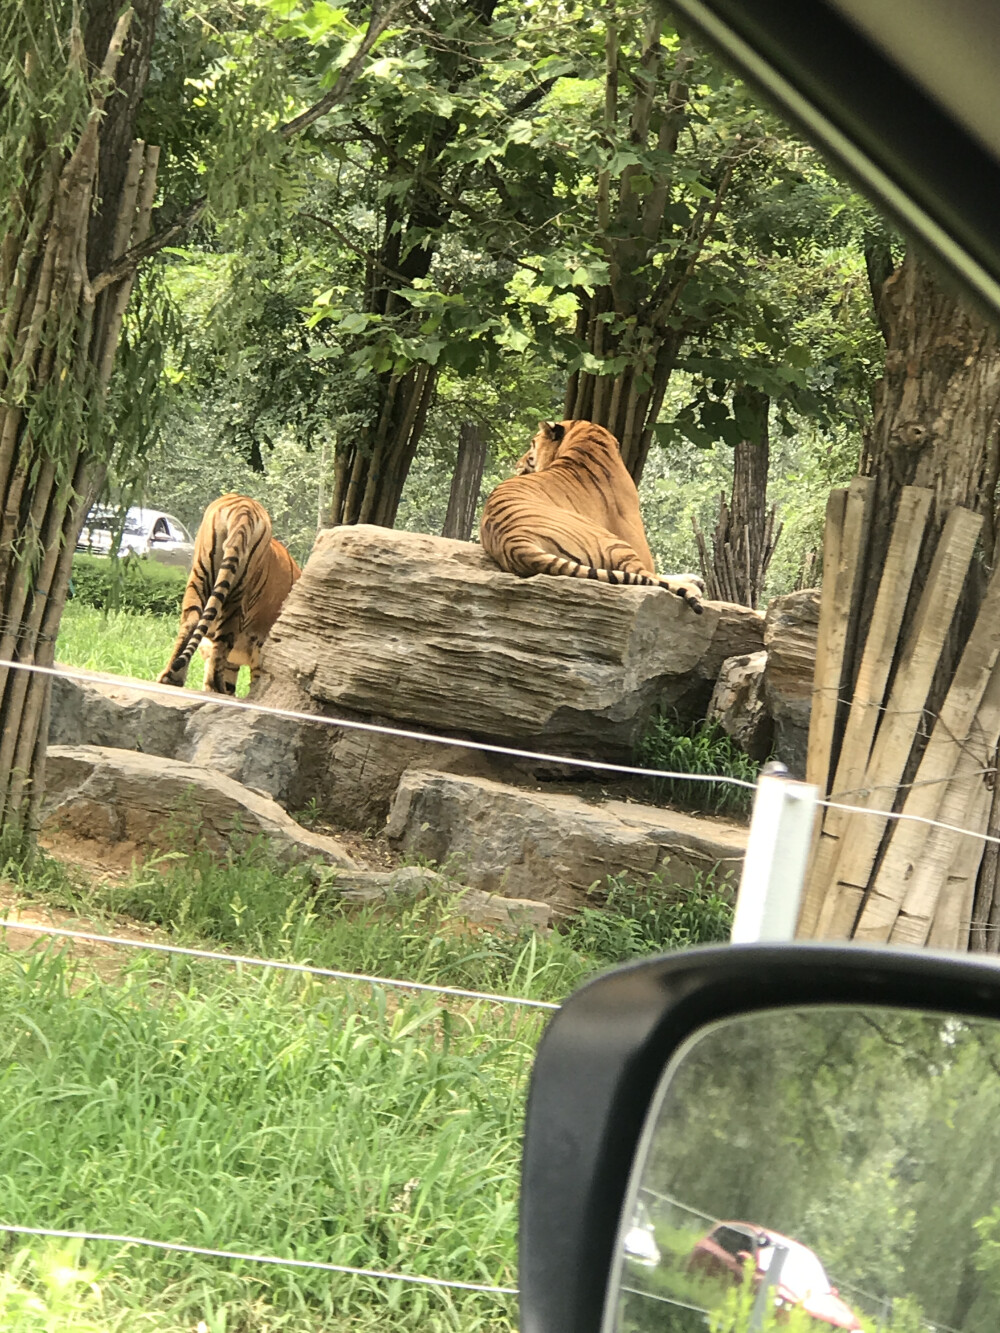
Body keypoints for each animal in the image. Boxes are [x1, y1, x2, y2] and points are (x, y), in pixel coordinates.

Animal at [156, 493, 304, 698]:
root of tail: (245, 507)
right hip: (237, 593)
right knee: (223, 640)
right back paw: (217, 689)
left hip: (200, 575)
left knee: (191, 622)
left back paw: (171, 678)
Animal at [482, 415, 709, 613]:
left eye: (532, 444)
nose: (517, 465)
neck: (583, 437)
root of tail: (514, 542)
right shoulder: (632, 526)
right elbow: (651, 568)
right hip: (612, 541)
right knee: (642, 573)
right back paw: (694, 587)